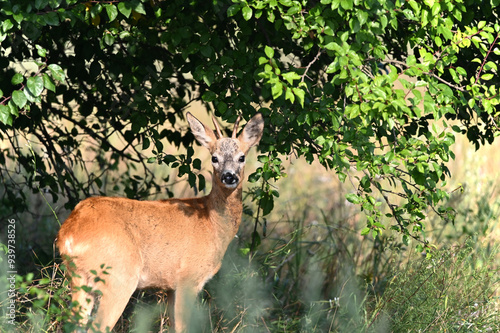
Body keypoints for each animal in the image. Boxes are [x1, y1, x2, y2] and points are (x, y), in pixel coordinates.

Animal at [56, 113, 264, 330]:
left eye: (242, 157)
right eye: (215, 158)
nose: (229, 176)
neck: (212, 223)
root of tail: (68, 234)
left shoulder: (171, 287)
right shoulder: (188, 278)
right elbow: (183, 327)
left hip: (79, 281)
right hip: (118, 278)